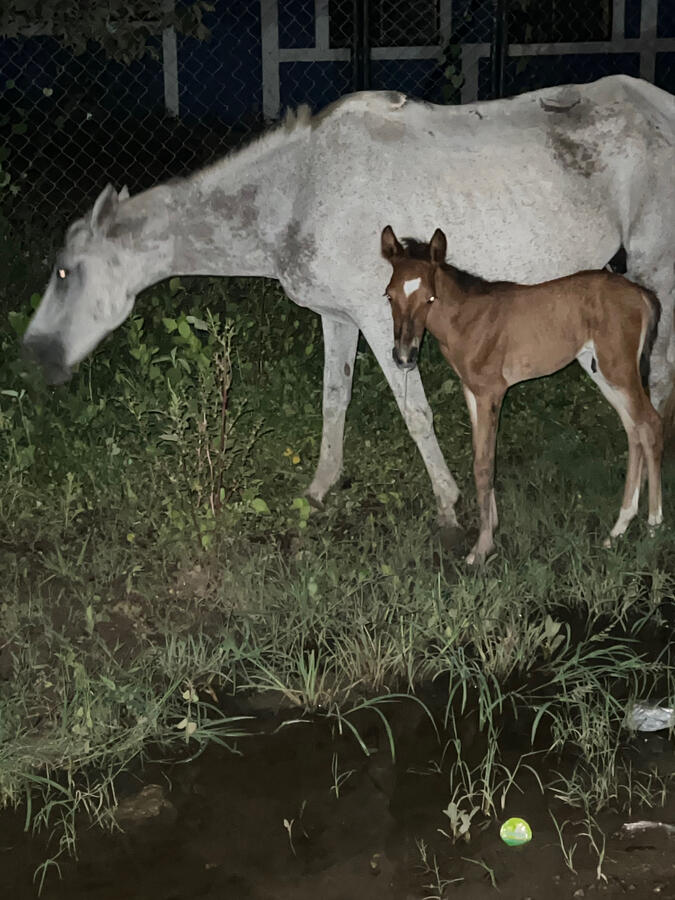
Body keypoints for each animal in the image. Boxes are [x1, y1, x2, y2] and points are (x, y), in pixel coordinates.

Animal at [381, 225, 663, 564]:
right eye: (389, 295)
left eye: (429, 298)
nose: (404, 357)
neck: (466, 320)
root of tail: (642, 295)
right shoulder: (471, 390)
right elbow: (480, 454)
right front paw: (491, 526)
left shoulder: (492, 391)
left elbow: (484, 464)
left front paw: (481, 547)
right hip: (603, 372)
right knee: (634, 429)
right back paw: (619, 528)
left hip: (618, 369)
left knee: (651, 424)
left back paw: (653, 525)